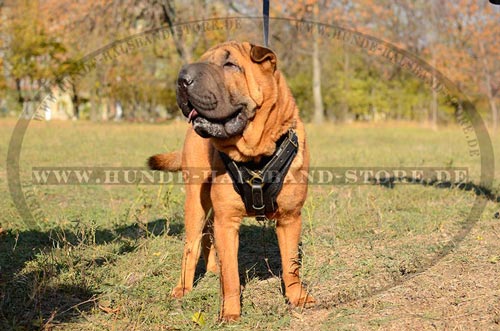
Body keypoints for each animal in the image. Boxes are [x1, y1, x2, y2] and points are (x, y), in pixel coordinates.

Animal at [146, 40, 314, 322]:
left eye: (230, 65)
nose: (182, 78)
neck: (256, 154)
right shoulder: (227, 221)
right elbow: (232, 276)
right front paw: (230, 313)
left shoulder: (290, 218)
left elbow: (291, 265)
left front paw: (297, 297)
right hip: (195, 202)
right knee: (191, 246)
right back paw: (183, 287)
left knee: (207, 237)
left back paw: (213, 268)